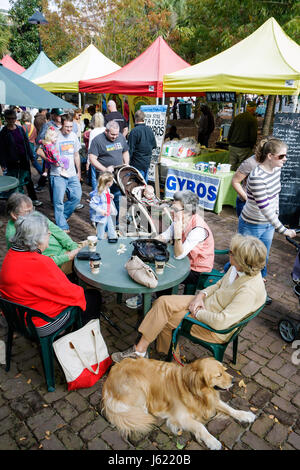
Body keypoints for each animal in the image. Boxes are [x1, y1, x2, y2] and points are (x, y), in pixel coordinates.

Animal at [101, 356, 255, 452]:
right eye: (219, 375)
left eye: (224, 369)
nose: (234, 380)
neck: (193, 390)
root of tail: (110, 376)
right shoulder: (181, 417)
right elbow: (200, 426)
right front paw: (212, 441)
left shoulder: (210, 401)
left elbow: (230, 408)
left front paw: (245, 415)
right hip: (140, 388)